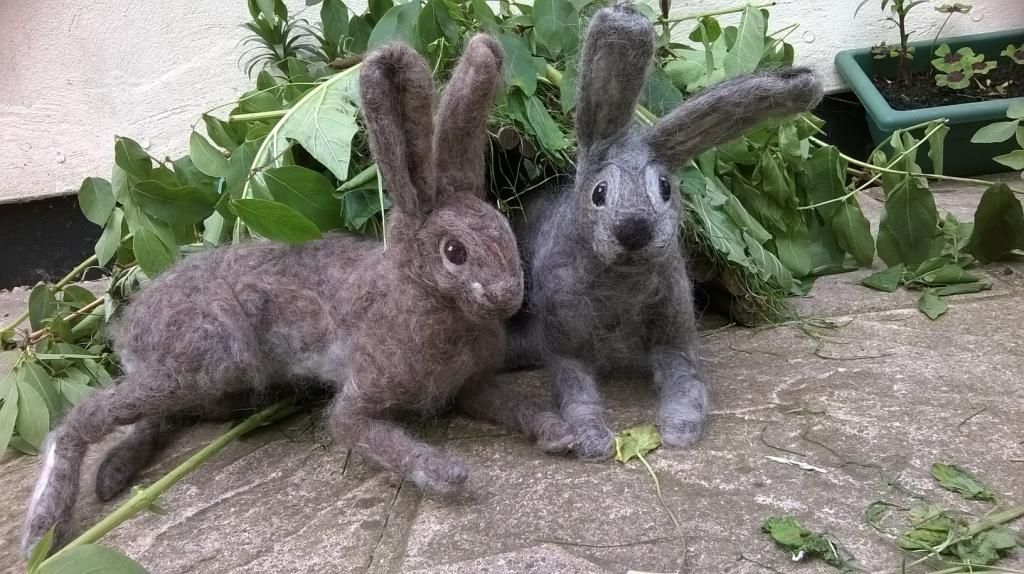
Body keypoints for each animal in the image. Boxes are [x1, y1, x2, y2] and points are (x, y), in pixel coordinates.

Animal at [22, 35, 577, 556]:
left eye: (504, 230)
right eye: (454, 252)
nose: (510, 296)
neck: (411, 293)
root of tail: (129, 326)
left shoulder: (469, 386)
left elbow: (510, 405)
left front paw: (559, 432)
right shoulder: (361, 398)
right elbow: (358, 429)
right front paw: (443, 473)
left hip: (210, 385)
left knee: (155, 417)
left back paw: (113, 475)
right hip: (202, 359)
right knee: (78, 423)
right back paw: (41, 533)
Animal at [507, 4, 827, 458]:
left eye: (665, 189)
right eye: (599, 192)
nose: (634, 229)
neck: (621, 281)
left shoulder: (673, 335)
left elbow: (686, 383)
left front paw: (679, 430)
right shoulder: (565, 343)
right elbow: (577, 394)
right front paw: (593, 440)